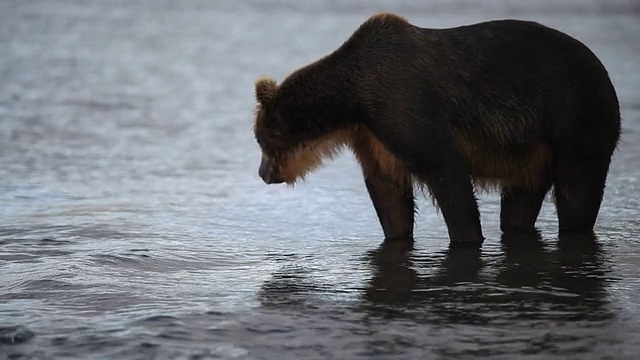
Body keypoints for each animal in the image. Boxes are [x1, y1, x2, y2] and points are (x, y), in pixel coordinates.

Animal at [254, 12, 620, 246]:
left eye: (262, 141)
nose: (263, 174)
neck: (354, 99)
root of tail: (601, 66)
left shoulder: (406, 104)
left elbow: (446, 173)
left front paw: (466, 237)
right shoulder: (372, 137)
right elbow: (389, 193)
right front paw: (396, 234)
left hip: (575, 114)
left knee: (578, 188)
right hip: (533, 151)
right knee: (520, 202)